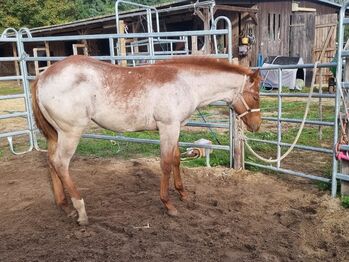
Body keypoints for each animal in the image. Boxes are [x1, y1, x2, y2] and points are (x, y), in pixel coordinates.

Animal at [32, 55, 260, 225]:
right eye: (256, 96)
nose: (256, 125)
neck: (186, 83)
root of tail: (43, 77)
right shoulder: (168, 127)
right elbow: (166, 164)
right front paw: (169, 205)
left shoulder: (176, 127)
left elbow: (176, 159)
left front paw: (183, 194)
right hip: (71, 132)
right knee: (61, 163)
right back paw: (80, 210)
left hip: (56, 134)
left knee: (51, 161)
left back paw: (64, 206)